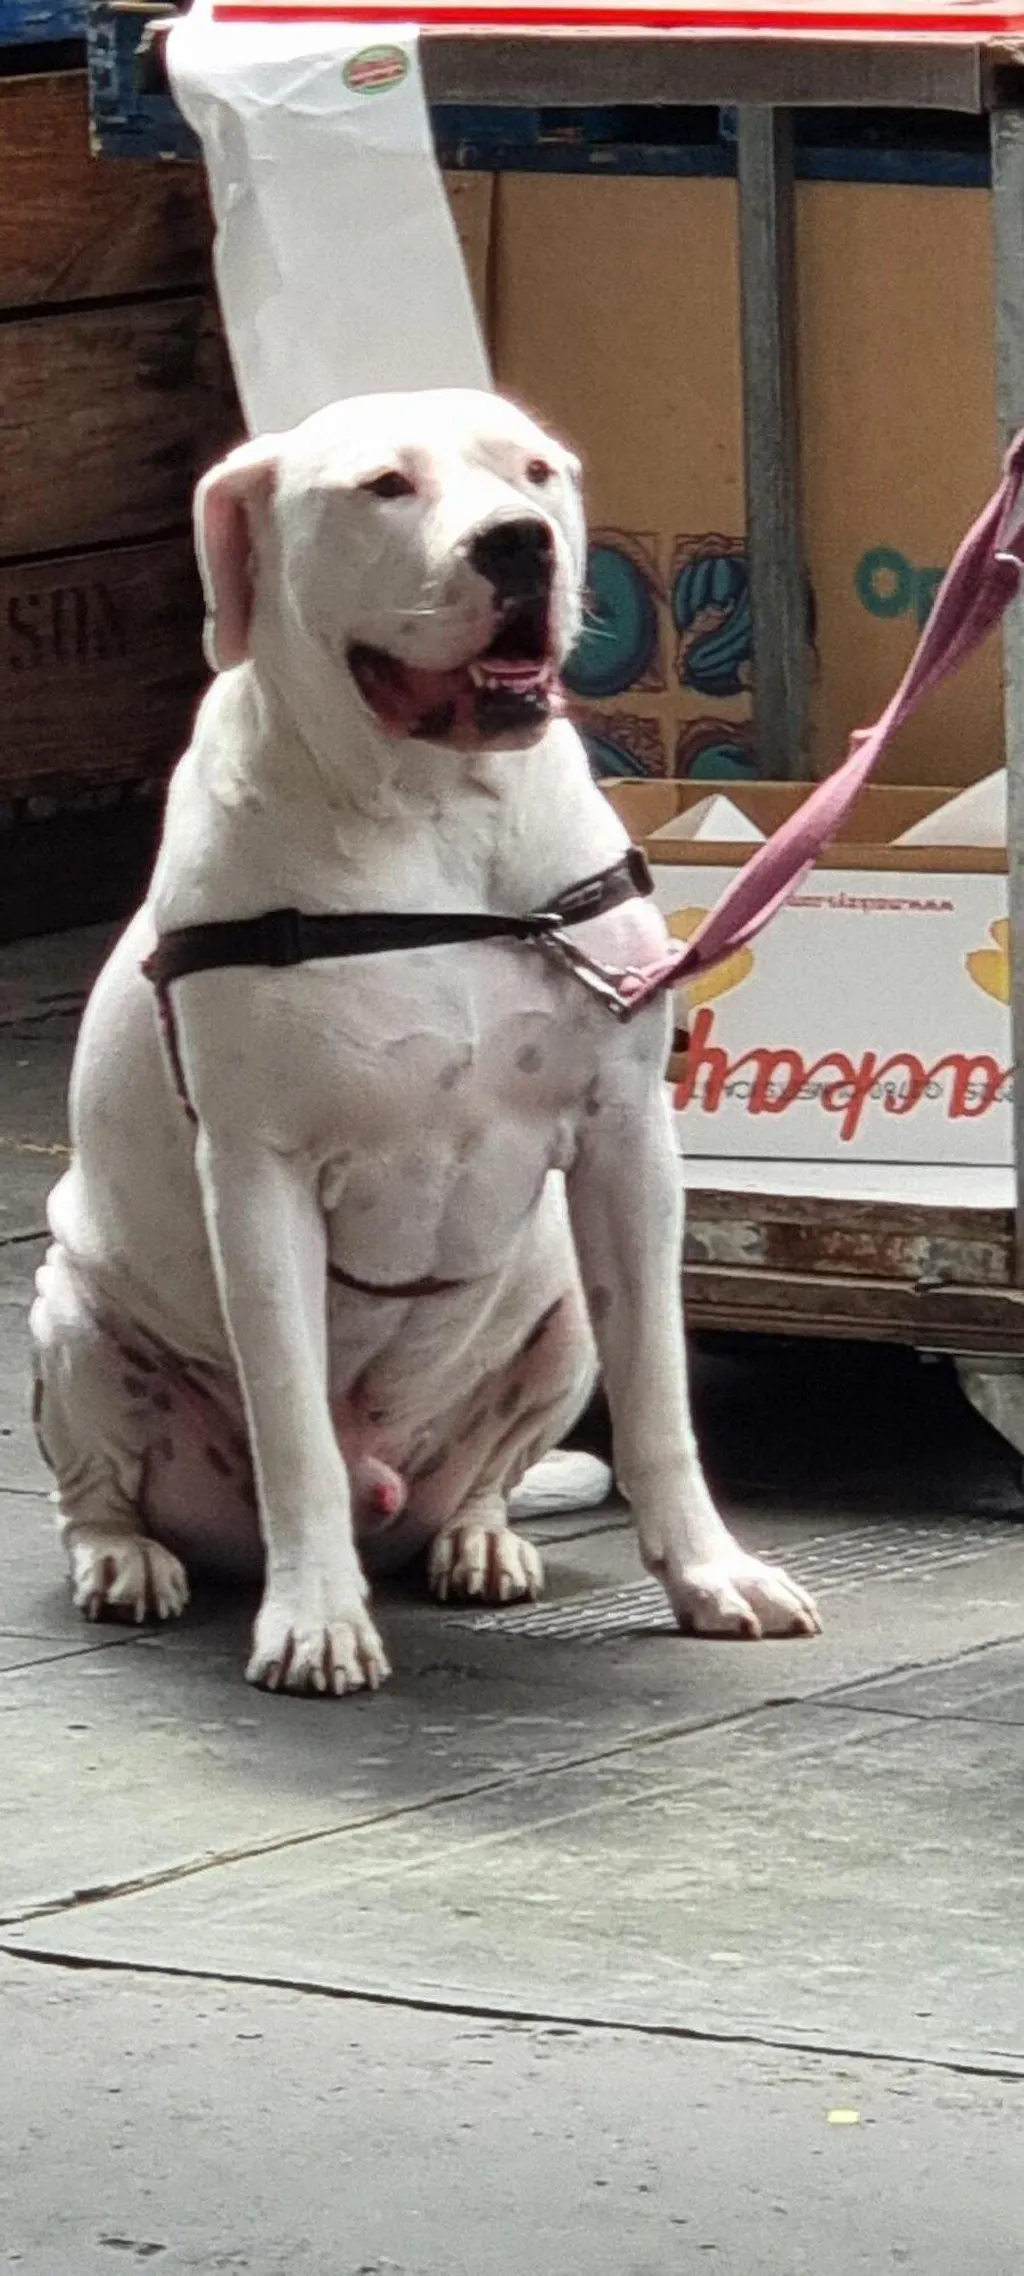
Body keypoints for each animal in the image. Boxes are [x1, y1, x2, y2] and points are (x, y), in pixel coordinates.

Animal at [30, 388, 819, 1693]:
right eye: (385, 486)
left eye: (536, 472)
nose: (518, 543)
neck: (437, 815)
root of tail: (387, 1499)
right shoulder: (260, 1176)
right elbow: (293, 1419)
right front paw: (312, 1620)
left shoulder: (625, 1143)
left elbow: (659, 1391)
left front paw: (711, 1573)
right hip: (72, 1317)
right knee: (95, 1487)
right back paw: (127, 1559)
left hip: (555, 1319)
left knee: (490, 1471)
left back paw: (478, 1541)